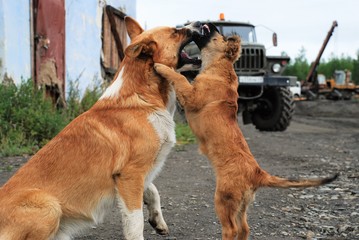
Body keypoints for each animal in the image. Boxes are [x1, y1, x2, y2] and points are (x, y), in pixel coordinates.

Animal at [0, 17, 202, 240]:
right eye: (175, 32)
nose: (200, 24)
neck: (144, 98)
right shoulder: (131, 175)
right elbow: (135, 221)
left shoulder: (138, 174)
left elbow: (153, 190)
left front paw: (158, 221)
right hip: (50, 206)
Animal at [155, 24, 340, 240]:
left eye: (219, 35)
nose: (208, 23)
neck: (218, 66)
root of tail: (258, 174)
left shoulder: (192, 95)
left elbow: (179, 78)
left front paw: (161, 67)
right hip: (242, 204)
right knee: (244, 228)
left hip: (223, 199)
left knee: (231, 229)